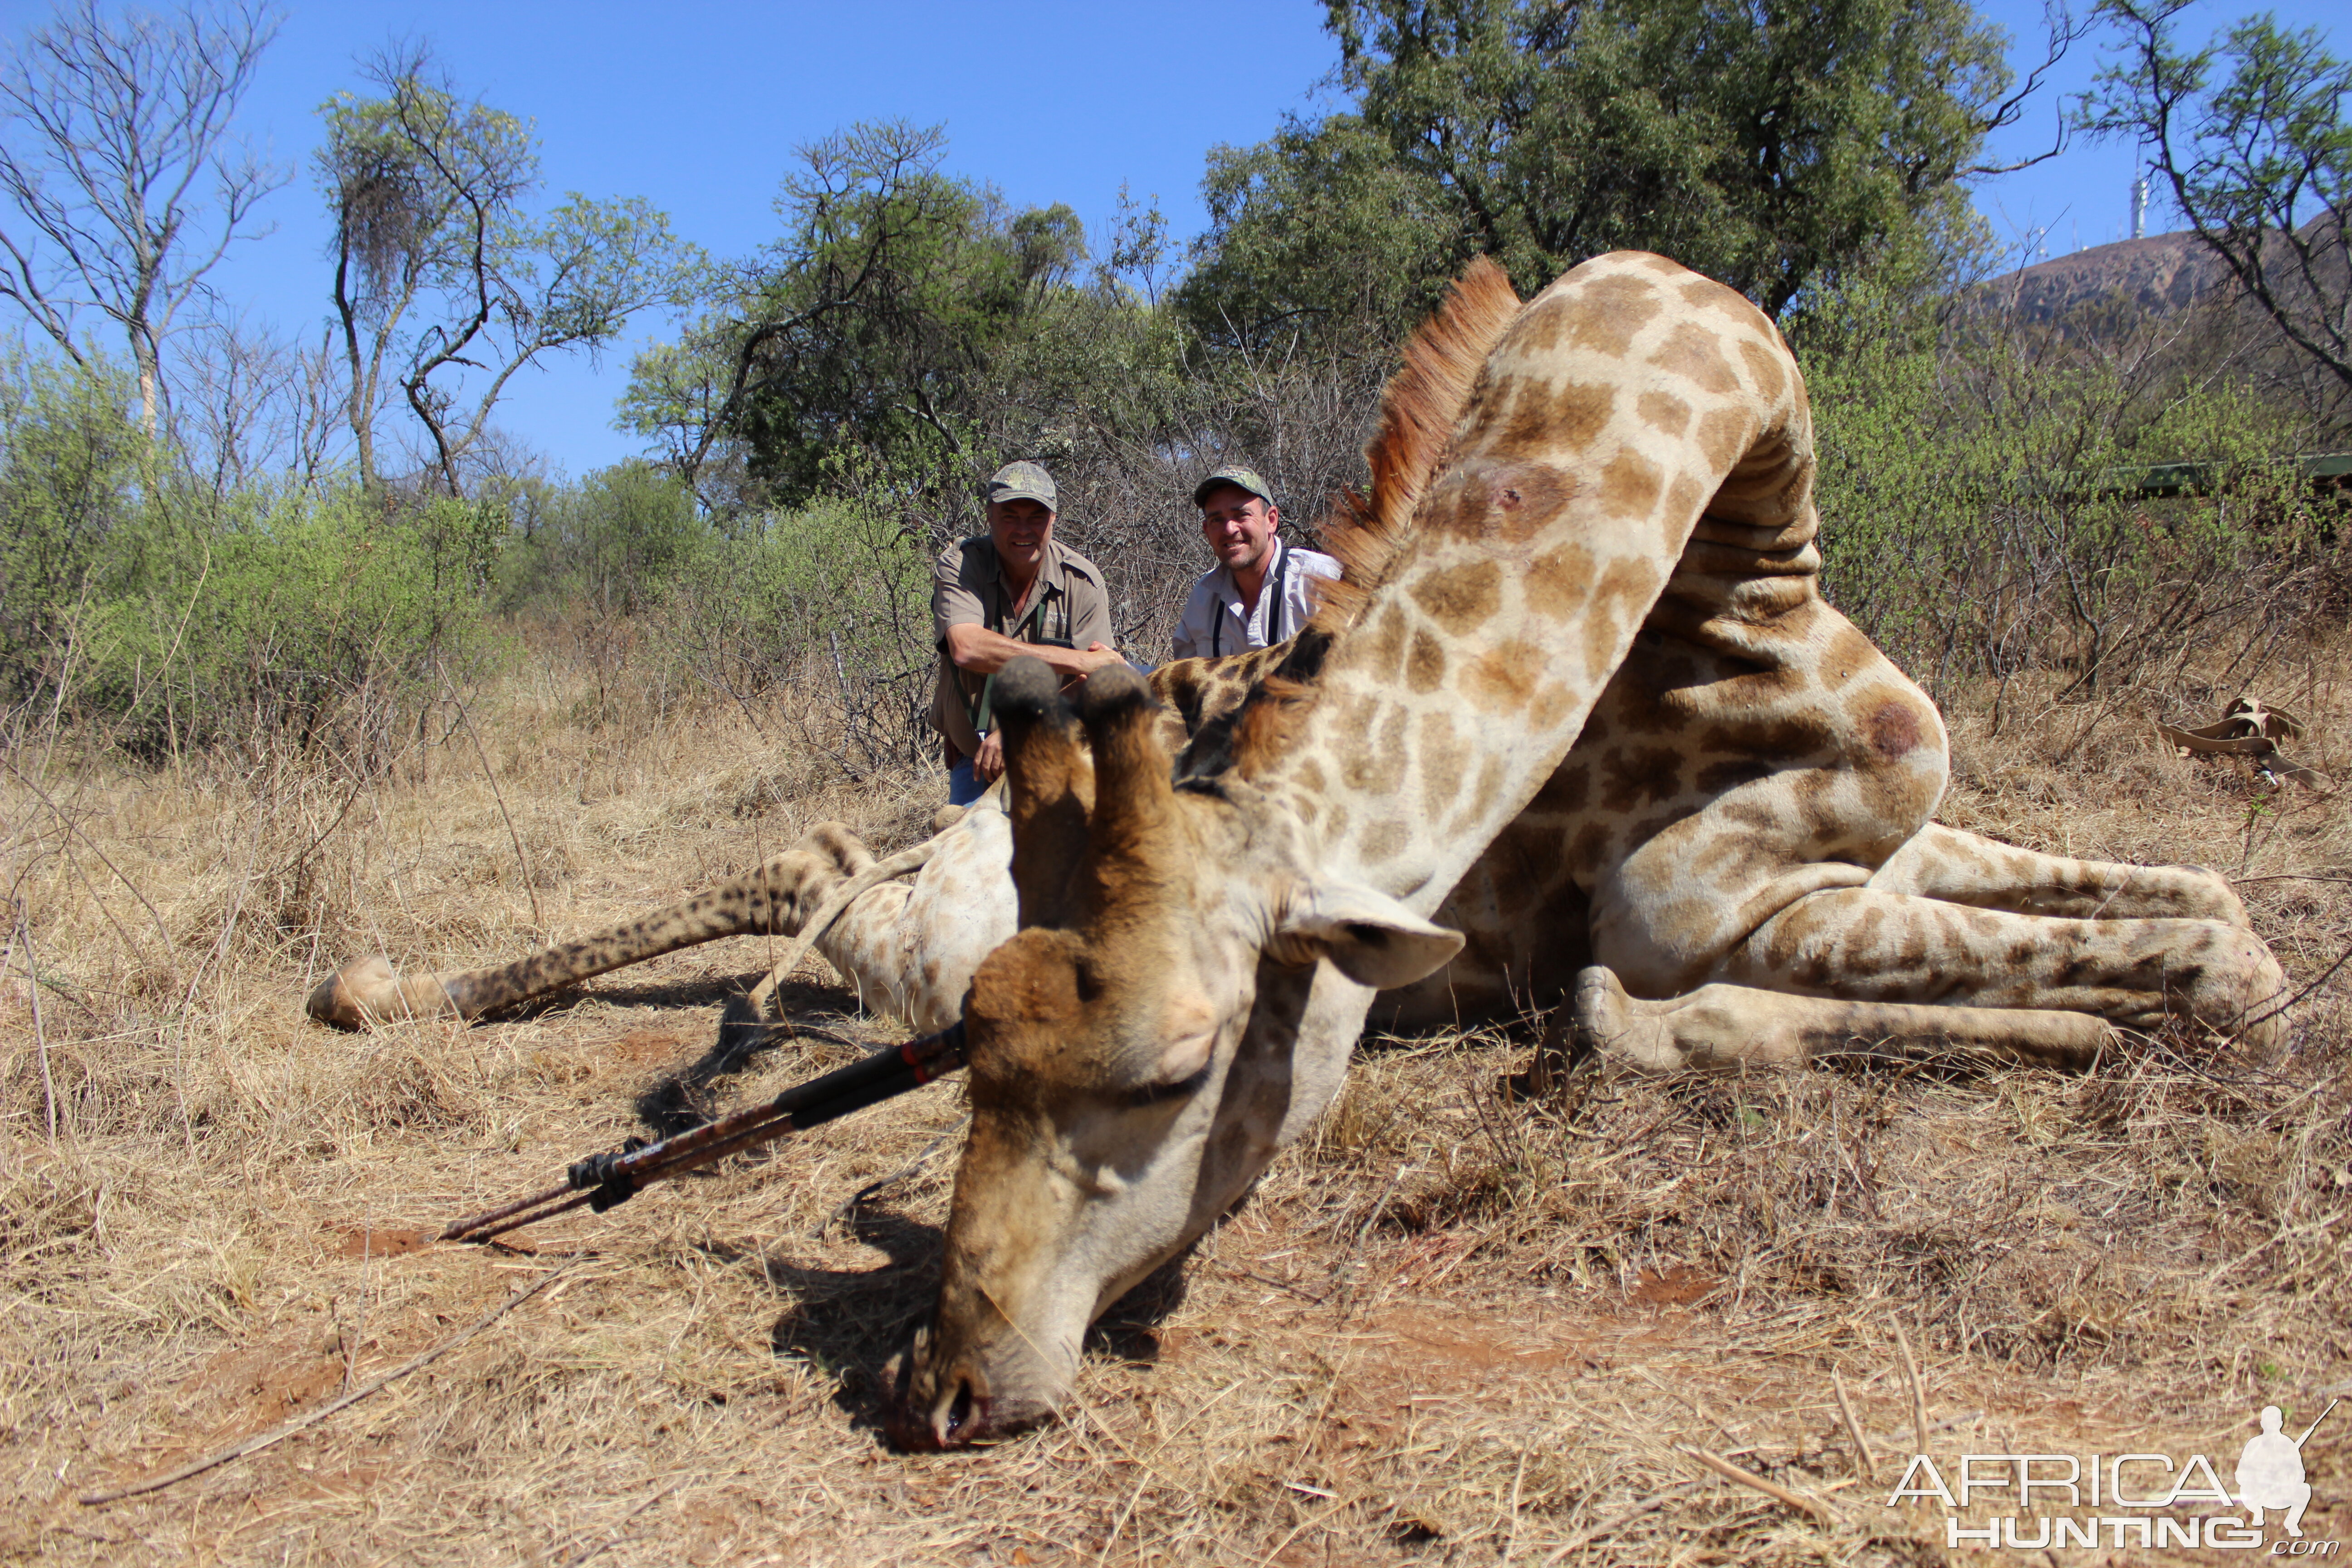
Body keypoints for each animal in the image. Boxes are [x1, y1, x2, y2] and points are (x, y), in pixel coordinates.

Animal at [884, 255, 2277, 1448]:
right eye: (977, 1063)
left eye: (1176, 1070)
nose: (944, 1384)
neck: (1747, 617)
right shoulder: (1693, 912)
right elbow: (2223, 968)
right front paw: (2094, 1025)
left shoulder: (1875, 857)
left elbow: (2214, 906)